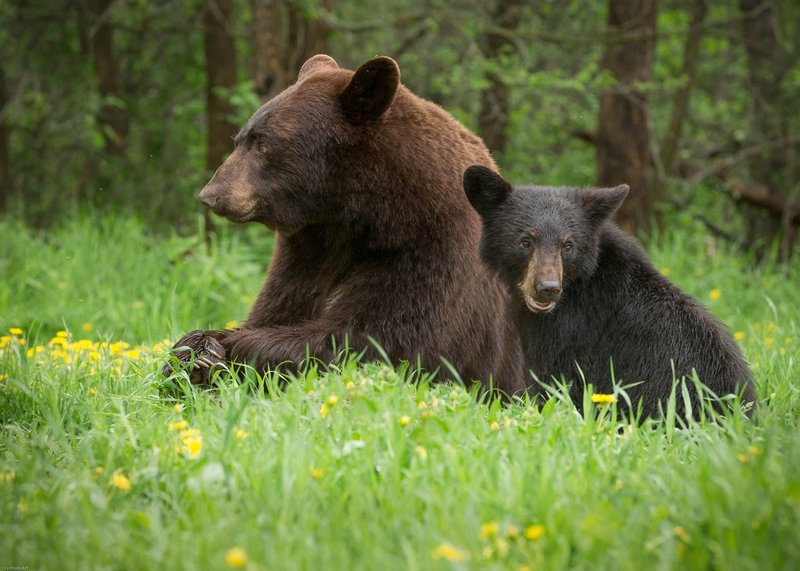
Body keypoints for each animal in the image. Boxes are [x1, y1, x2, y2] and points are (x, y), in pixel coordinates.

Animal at [163, 55, 526, 396]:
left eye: (264, 144)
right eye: (239, 139)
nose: (210, 195)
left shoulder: (431, 251)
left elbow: (377, 339)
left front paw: (228, 351)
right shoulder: (305, 255)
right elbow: (276, 309)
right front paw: (195, 350)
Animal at [463, 165, 756, 418]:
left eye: (567, 246)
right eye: (525, 242)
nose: (547, 289)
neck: (577, 287)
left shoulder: (570, 337)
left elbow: (558, 387)